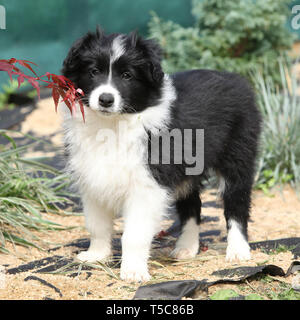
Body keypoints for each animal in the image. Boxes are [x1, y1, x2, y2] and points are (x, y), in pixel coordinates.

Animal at [62, 28, 262, 282]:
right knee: (192, 205)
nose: (106, 99)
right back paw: (186, 248)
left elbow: (134, 234)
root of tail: (236, 79)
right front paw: (96, 255)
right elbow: (97, 224)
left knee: (236, 202)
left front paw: (133, 272)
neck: (113, 125)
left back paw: (237, 251)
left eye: (127, 75)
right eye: (94, 71)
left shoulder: (147, 186)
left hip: (238, 154)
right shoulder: (93, 180)